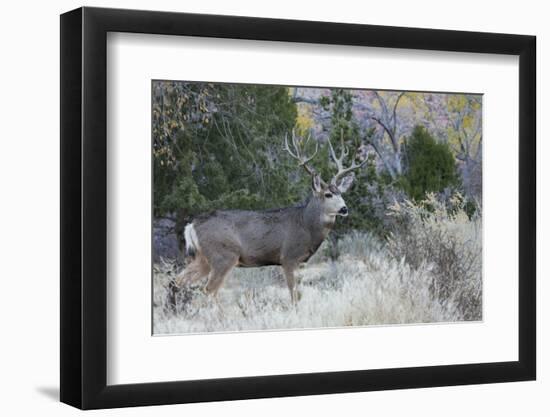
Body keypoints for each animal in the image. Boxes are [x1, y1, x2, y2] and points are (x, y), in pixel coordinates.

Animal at [168, 130, 366, 308]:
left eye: (341, 194)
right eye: (327, 195)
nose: (344, 209)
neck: (306, 225)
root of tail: (192, 225)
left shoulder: (300, 263)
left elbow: (298, 293)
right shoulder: (288, 257)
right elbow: (294, 294)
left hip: (203, 258)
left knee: (177, 281)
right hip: (223, 255)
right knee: (209, 290)